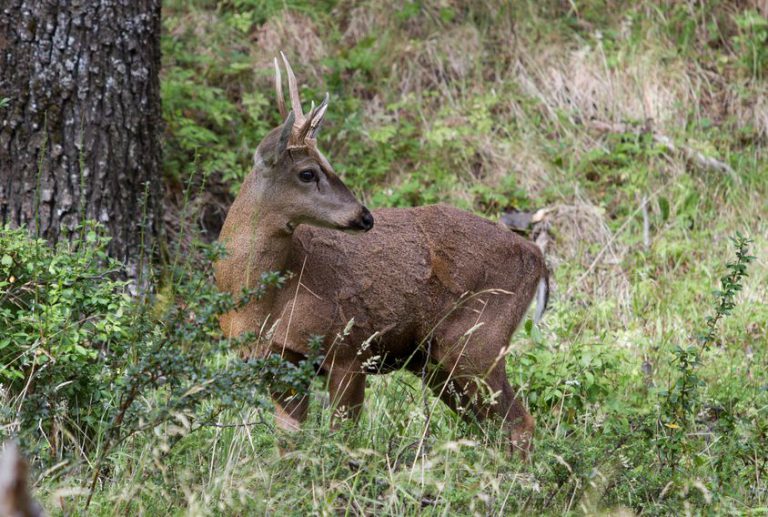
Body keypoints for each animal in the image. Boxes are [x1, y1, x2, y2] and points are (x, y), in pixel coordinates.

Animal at [216, 51, 548, 456]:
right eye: (308, 172)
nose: (365, 216)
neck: (262, 300)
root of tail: (537, 256)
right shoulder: (277, 363)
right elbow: (289, 443)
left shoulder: (349, 349)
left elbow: (342, 439)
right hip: (436, 364)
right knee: (493, 427)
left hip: (476, 342)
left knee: (520, 424)